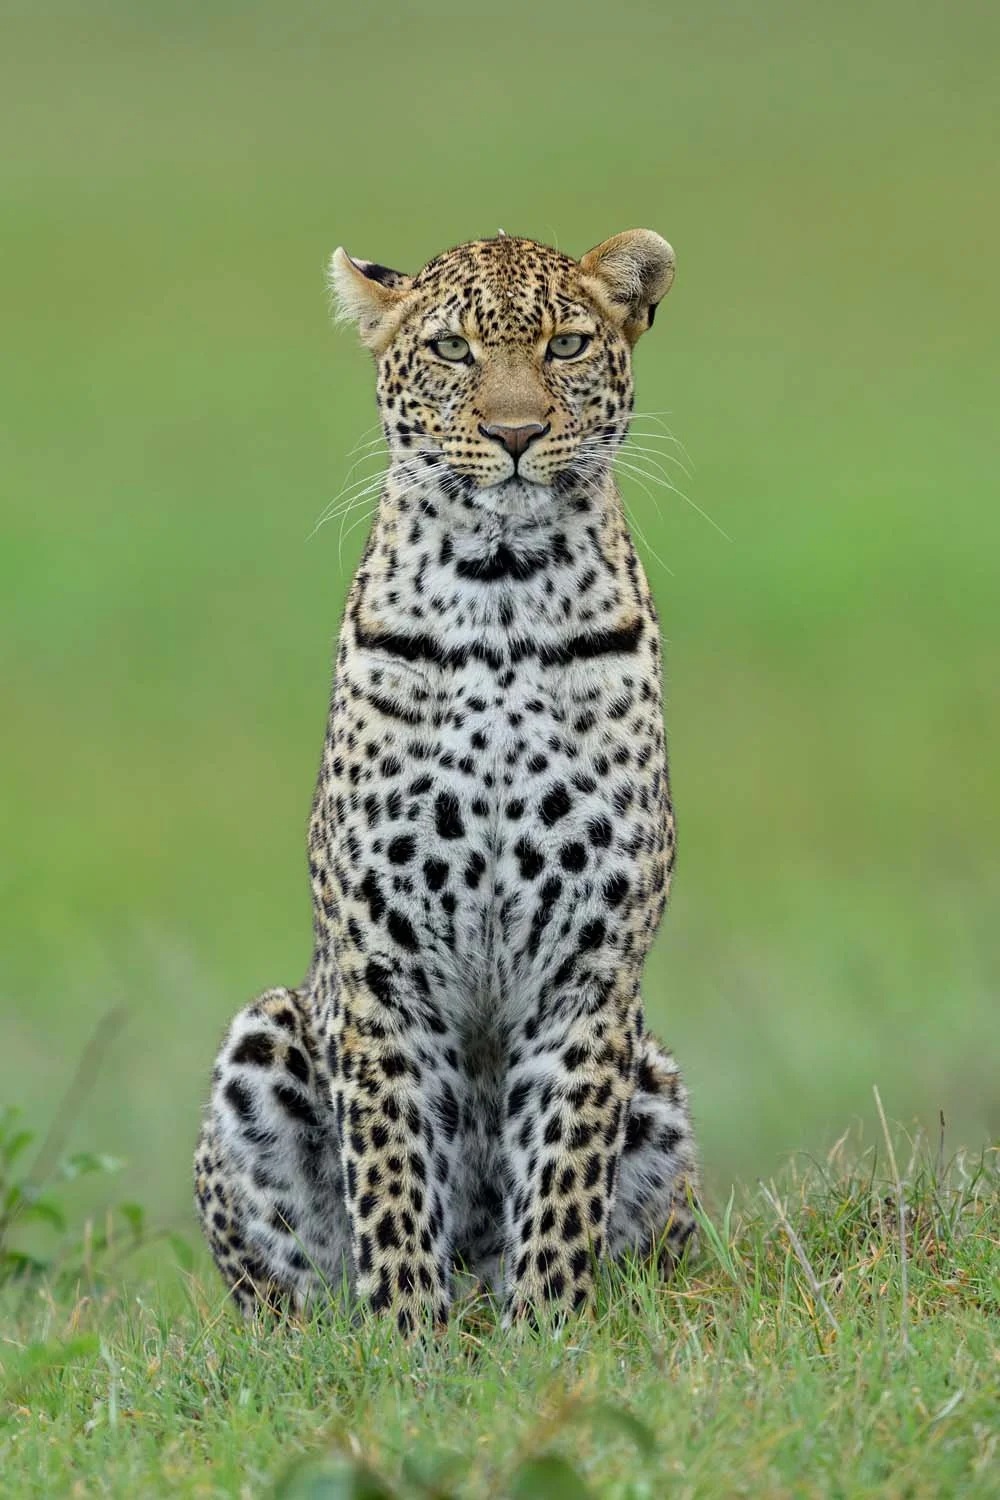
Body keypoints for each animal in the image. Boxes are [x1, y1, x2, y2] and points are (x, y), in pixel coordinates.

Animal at [194, 229, 699, 1331]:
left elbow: (563, 1174)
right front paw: (405, 1340)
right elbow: (389, 1176)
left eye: (564, 345)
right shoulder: (382, 974)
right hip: (265, 1037)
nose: (515, 433)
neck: (502, 592)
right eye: (451, 349)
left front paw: (547, 1331)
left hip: (659, 1080)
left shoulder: (590, 973)